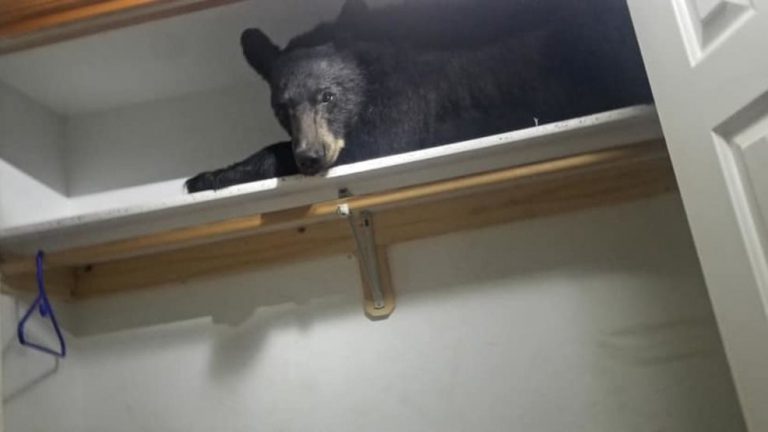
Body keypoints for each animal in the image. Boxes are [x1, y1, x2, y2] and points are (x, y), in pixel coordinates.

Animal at [185, 0, 653, 192]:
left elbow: (378, 142)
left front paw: (211, 175)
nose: (311, 158)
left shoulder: (407, 100)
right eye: (281, 107)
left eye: (328, 96)